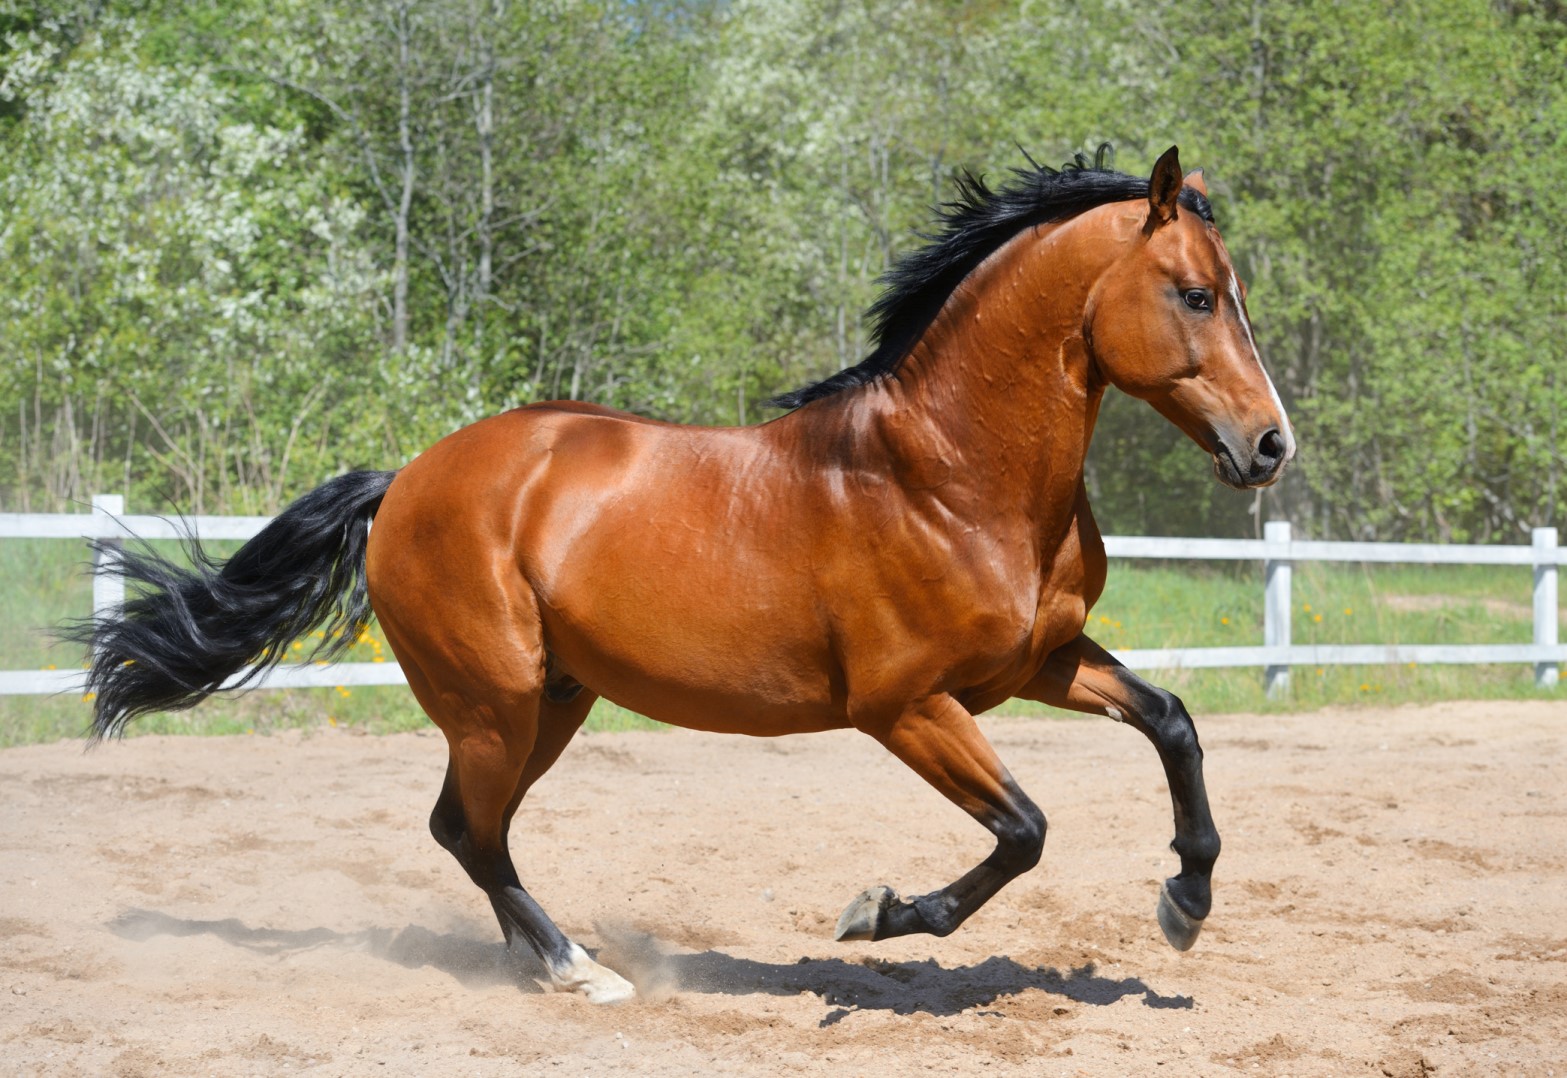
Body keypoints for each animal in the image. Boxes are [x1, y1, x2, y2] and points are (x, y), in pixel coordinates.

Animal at [73, 144, 1291, 1002]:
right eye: (1194, 294)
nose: (1270, 445)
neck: (945, 475)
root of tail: (407, 478)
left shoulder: (1034, 665)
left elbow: (1173, 722)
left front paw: (1186, 898)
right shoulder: (905, 706)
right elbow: (1025, 828)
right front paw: (875, 913)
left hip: (553, 700)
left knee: (473, 830)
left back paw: (547, 964)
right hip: (495, 700)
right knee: (467, 830)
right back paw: (580, 971)